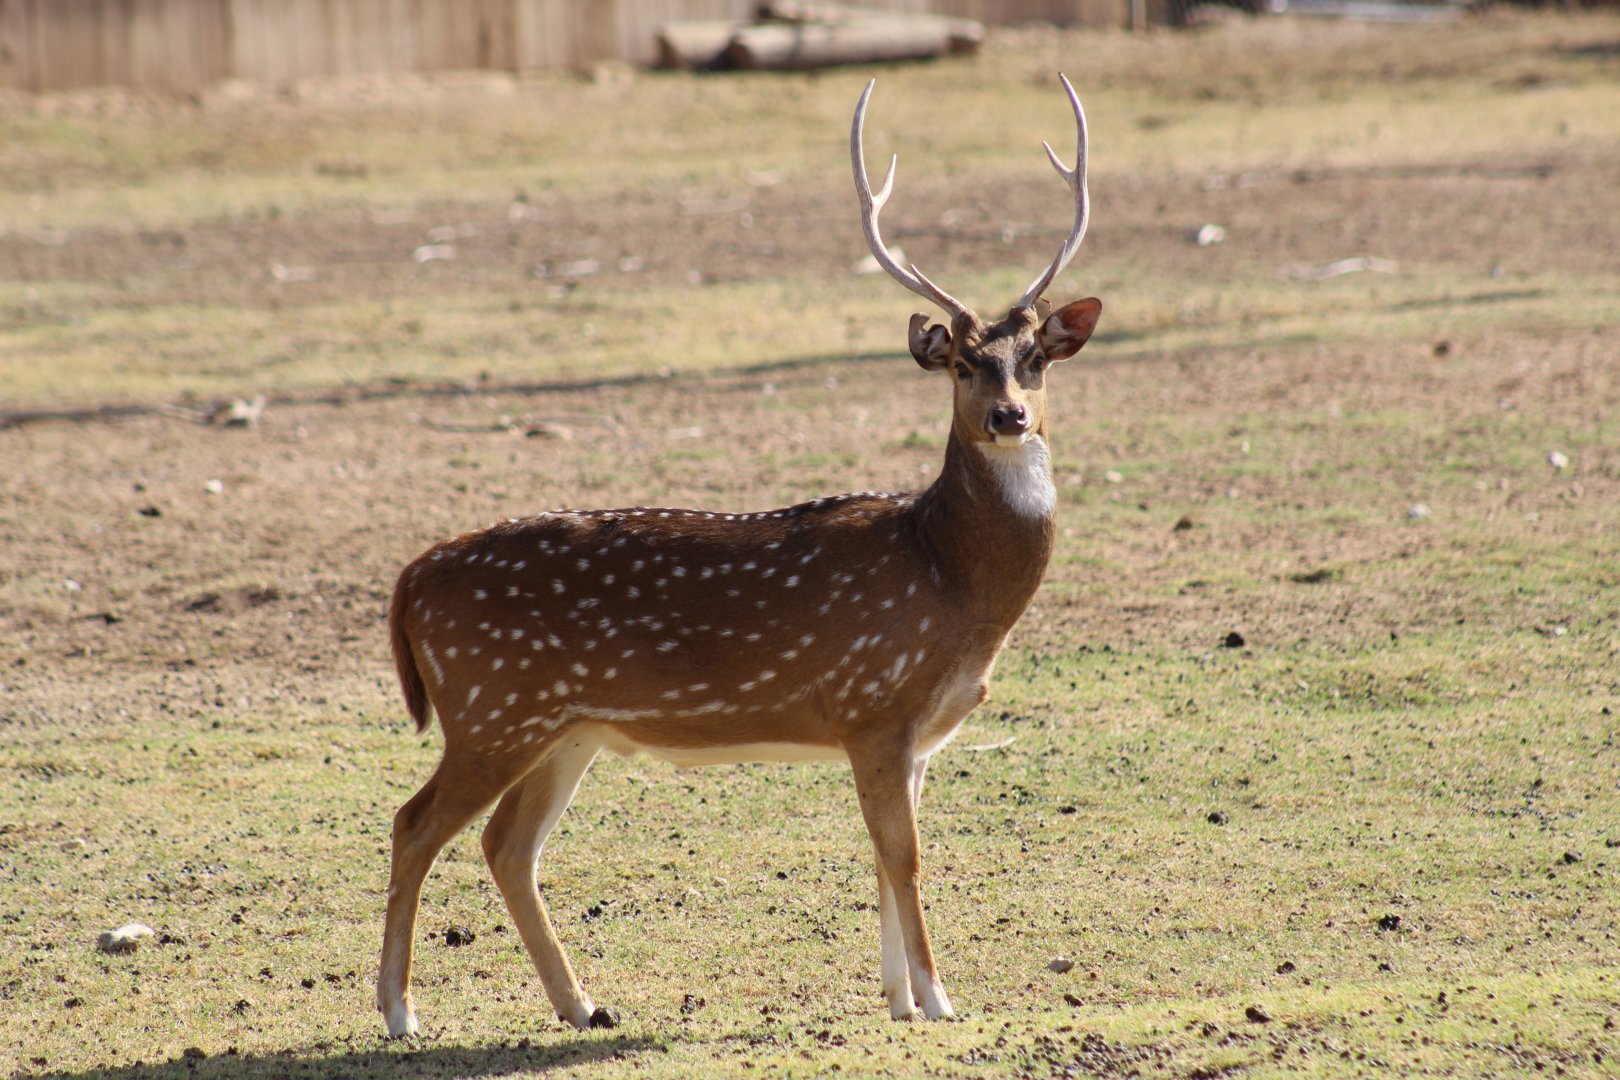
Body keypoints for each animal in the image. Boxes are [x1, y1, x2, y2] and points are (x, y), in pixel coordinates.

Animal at [376, 74, 1102, 1037]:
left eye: (1036, 362)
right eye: (961, 366)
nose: (1009, 416)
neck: (951, 585)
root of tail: (410, 577)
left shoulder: (911, 735)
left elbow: (883, 857)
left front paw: (896, 999)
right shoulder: (873, 701)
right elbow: (904, 857)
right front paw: (941, 1001)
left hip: (565, 725)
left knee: (507, 844)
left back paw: (582, 1003)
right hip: (491, 705)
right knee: (414, 823)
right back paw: (399, 1012)